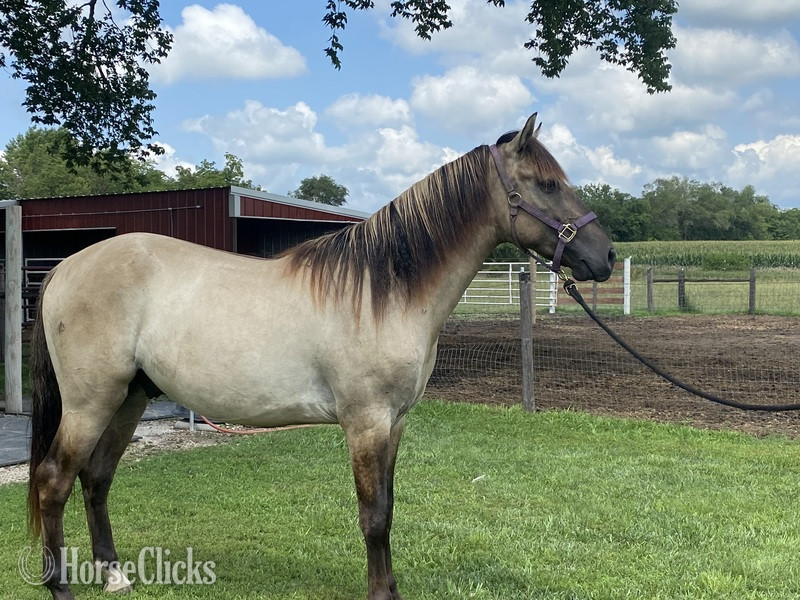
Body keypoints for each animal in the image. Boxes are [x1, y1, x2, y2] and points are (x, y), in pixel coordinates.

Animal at [27, 114, 615, 600]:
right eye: (546, 184)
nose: (606, 256)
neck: (385, 292)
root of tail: (65, 267)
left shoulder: (395, 423)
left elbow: (388, 509)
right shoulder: (366, 423)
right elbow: (373, 516)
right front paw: (382, 594)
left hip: (128, 398)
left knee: (96, 479)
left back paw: (115, 576)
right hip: (90, 403)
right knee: (55, 480)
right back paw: (61, 587)